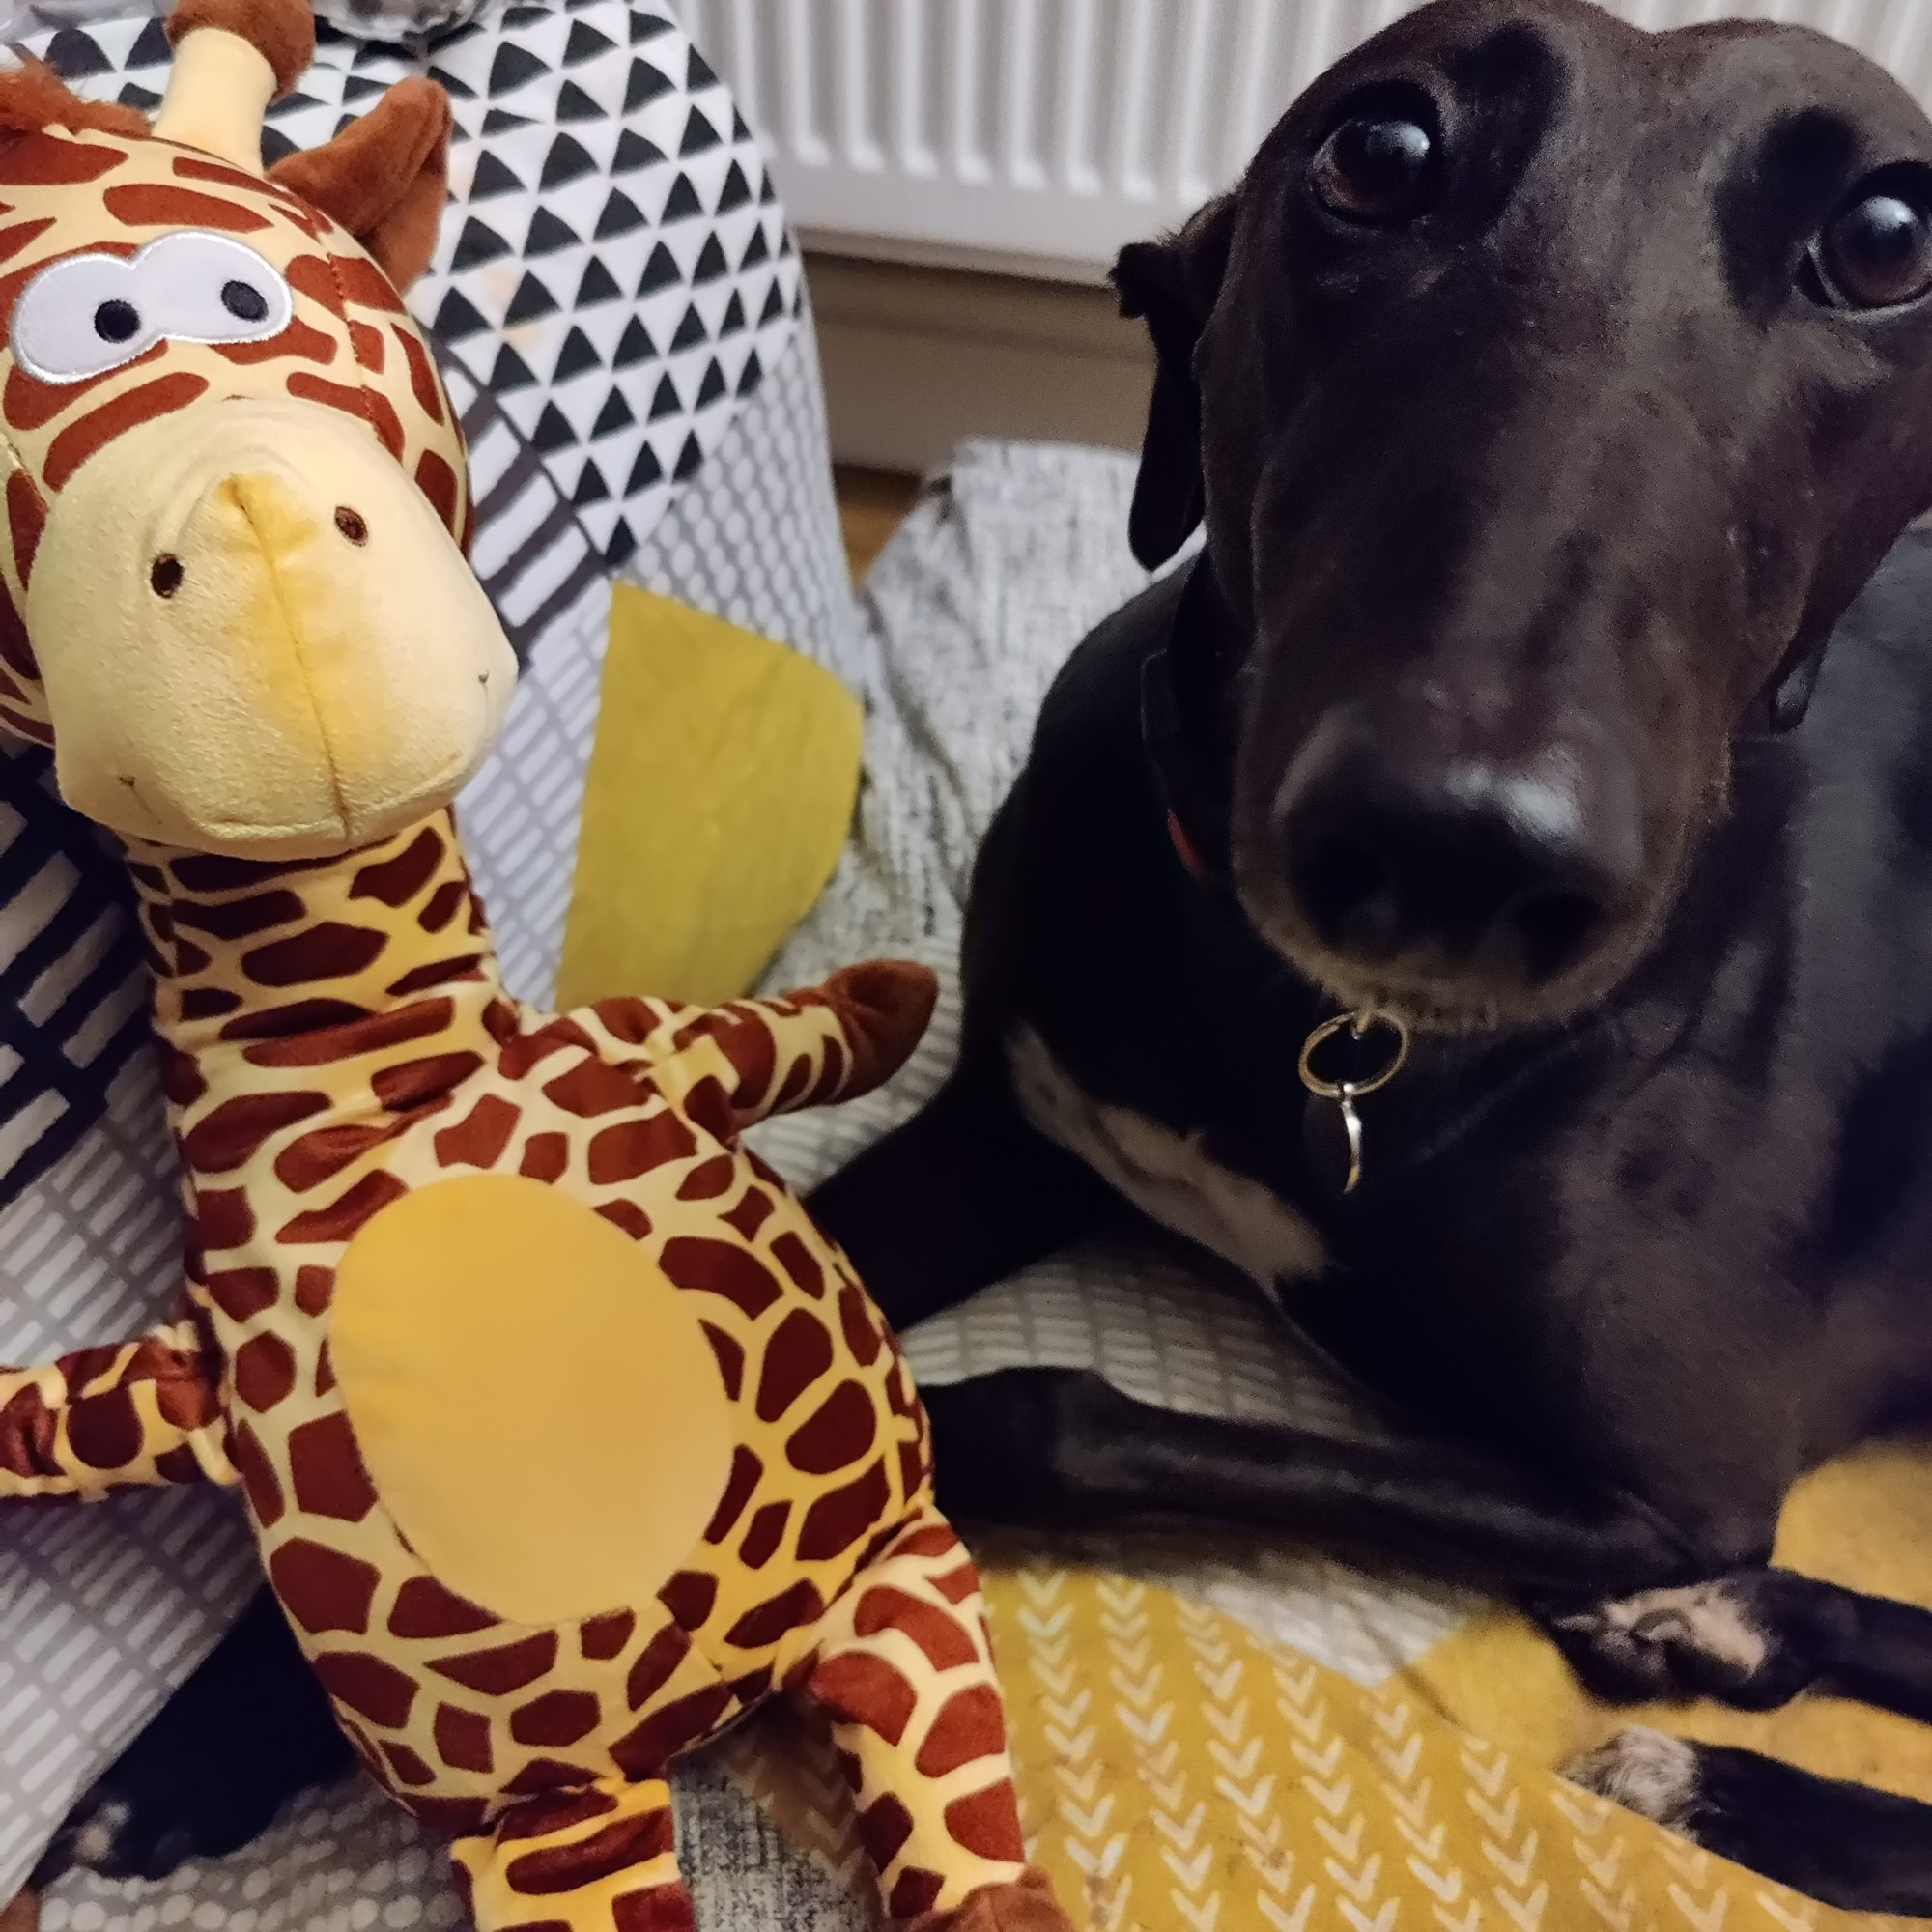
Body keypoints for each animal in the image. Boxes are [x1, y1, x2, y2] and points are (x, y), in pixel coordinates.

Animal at [42, 0, 1932, 1909]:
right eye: (1380, 151)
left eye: (1886, 240)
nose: (1455, 844)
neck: (1321, 1031)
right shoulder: (1009, 1131)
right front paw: (218, 1728)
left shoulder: (1665, 1484)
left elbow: (1031, 1415)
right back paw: (1724, 1648)